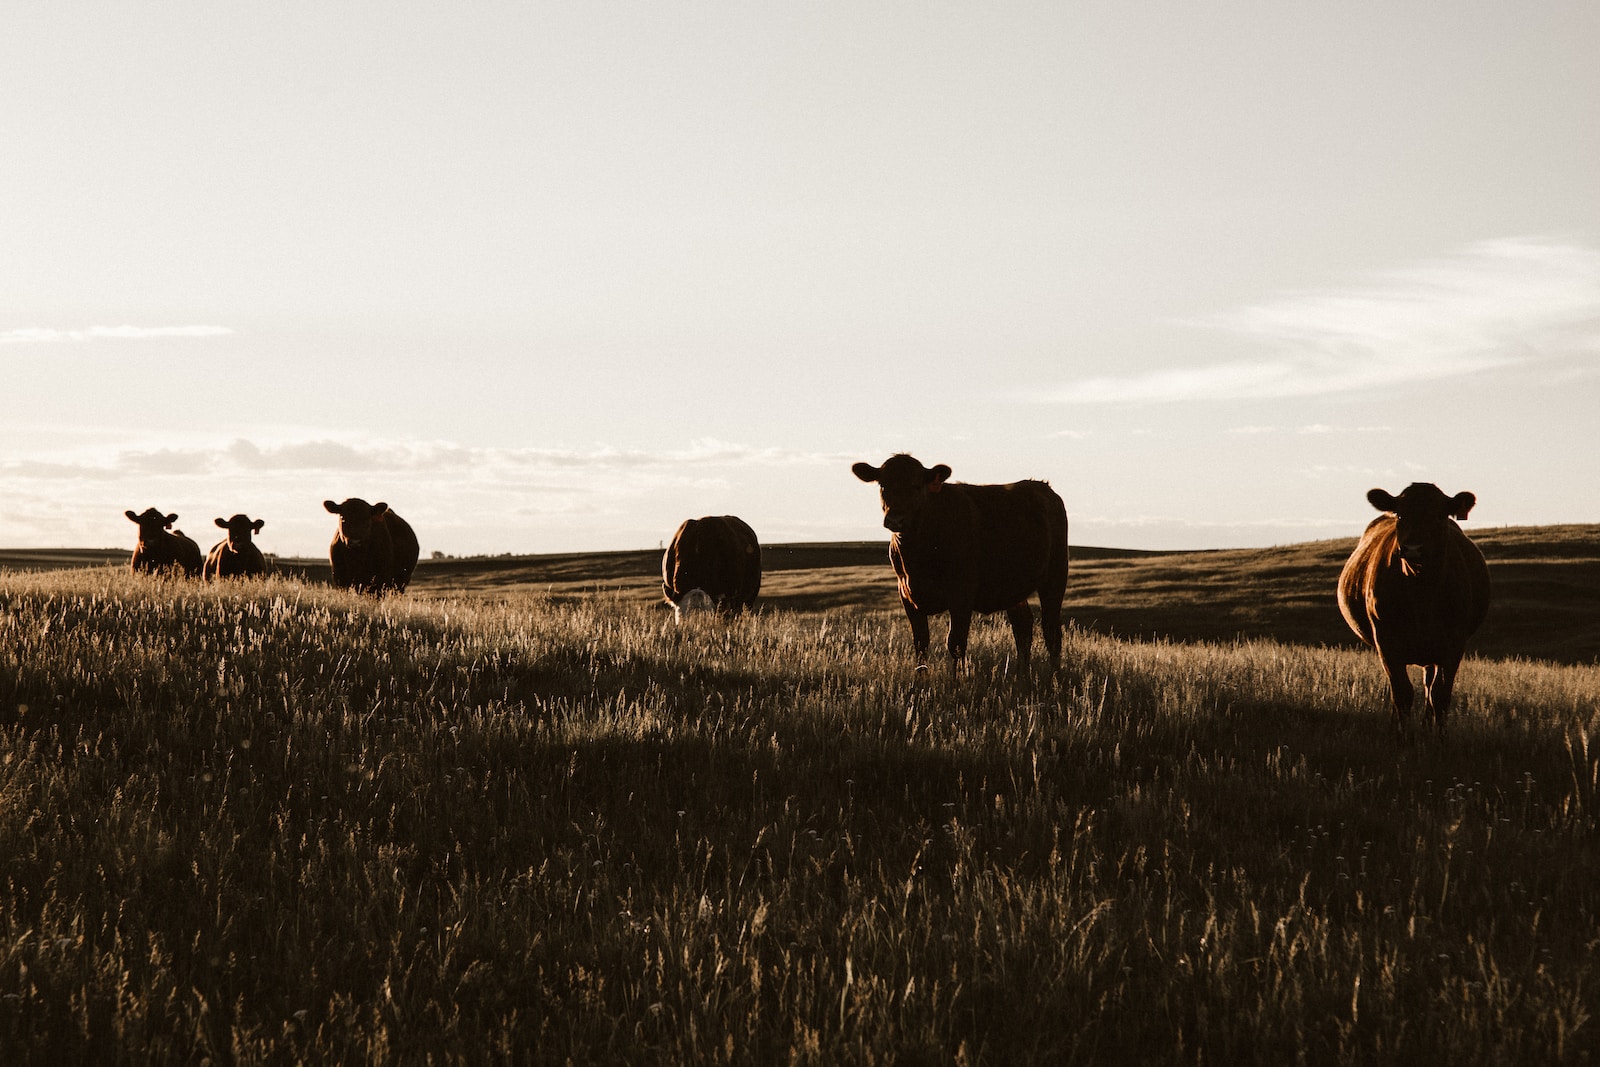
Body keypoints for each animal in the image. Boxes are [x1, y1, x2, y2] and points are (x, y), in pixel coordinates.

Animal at [857, 454, 1068, 675]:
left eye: (916, 486)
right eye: (883, 485)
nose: (896, 519)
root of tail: (1041, 486)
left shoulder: (961, 594)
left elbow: (955, 643)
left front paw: (957, 680)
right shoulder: (907, 596)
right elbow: (920, 644)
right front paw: (921, 680)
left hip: (1055, 575)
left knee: (1051, 629)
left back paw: (1055, 675)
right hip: (1013, 586)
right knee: (1023, 626)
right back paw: (1021, 674)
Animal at [1331, 486, 1491, 729]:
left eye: (1439, 515)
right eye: (1400, 514)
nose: (1413, 549)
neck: (1421, 594)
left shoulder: (1455, 642)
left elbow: (1440, 695)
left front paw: (1438, 734)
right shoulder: (1386, 640)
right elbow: (1402, 693)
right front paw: (1402, 733)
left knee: (1429, 684)